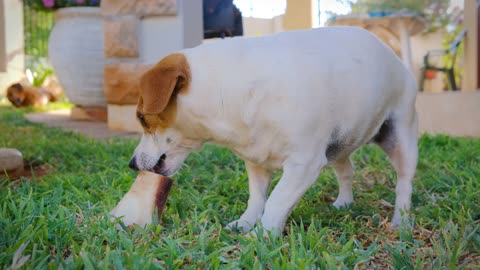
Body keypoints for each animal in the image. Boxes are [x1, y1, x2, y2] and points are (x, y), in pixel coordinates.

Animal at [114, 26, 418, 235]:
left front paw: (261, 235)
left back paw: (401, 222)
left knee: (404, 184)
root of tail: (394, 57)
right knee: (346, 171)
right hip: (340, 145)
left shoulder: (304, 164)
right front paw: (245, 223)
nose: (131, 164)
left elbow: (275, 202)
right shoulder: (256, 161)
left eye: (141, 118)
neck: (229, 91)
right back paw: (344, 202)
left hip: (400, 139)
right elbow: (257, 198)